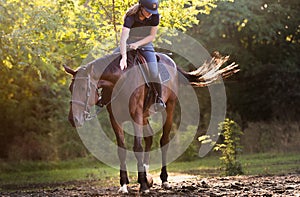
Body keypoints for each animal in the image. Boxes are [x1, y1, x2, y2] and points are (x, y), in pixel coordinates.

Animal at [63, 50, 239, 193]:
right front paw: (125, 185)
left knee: (163, 141)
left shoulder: (136, 116)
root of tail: (171, 62)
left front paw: (143, 186)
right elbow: (122, 150)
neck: (120, 80)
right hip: (145, 117)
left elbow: (137, 147)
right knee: (149, 139)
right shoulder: (115, 119)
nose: (72, 119)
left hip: (168, 108)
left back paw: (164, 180)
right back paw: (147, 175)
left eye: (83, 89)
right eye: (71, 89)